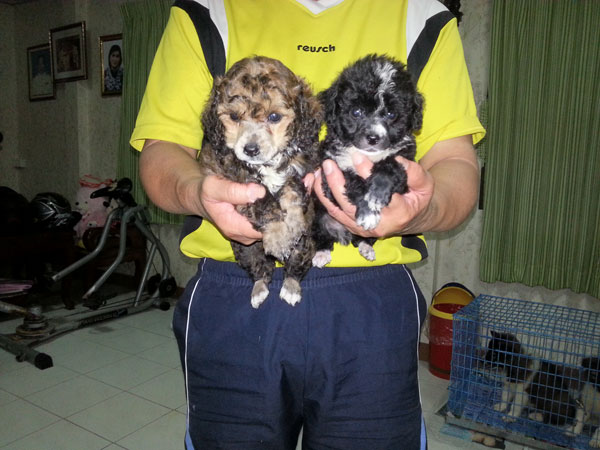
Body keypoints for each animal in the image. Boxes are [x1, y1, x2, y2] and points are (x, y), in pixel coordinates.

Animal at [198, 56, 323, 308]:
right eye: (234, 117)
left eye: (274, 117)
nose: (250, 149)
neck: (267, 163)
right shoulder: (239, 182)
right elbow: (265, 204)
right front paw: (277, 236)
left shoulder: (300, 171)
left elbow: (291, 193)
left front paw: (291, 225)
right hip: (245, 249)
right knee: (260, 268)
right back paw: (259, 289)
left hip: (306, 245)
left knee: (296, 265)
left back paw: (291, 287)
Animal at [312, 54, 423, 267]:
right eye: (356, 112)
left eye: (391, 114)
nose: (373, 138)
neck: (366, 154)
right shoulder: (333, 167)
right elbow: (355, 184)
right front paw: (368, 211)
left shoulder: (404, 157)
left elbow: (389, 168)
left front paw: (376, 195)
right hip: (316, 217)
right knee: (321, 237)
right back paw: (321, 254)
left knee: (362, 240)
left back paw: (366, 247)